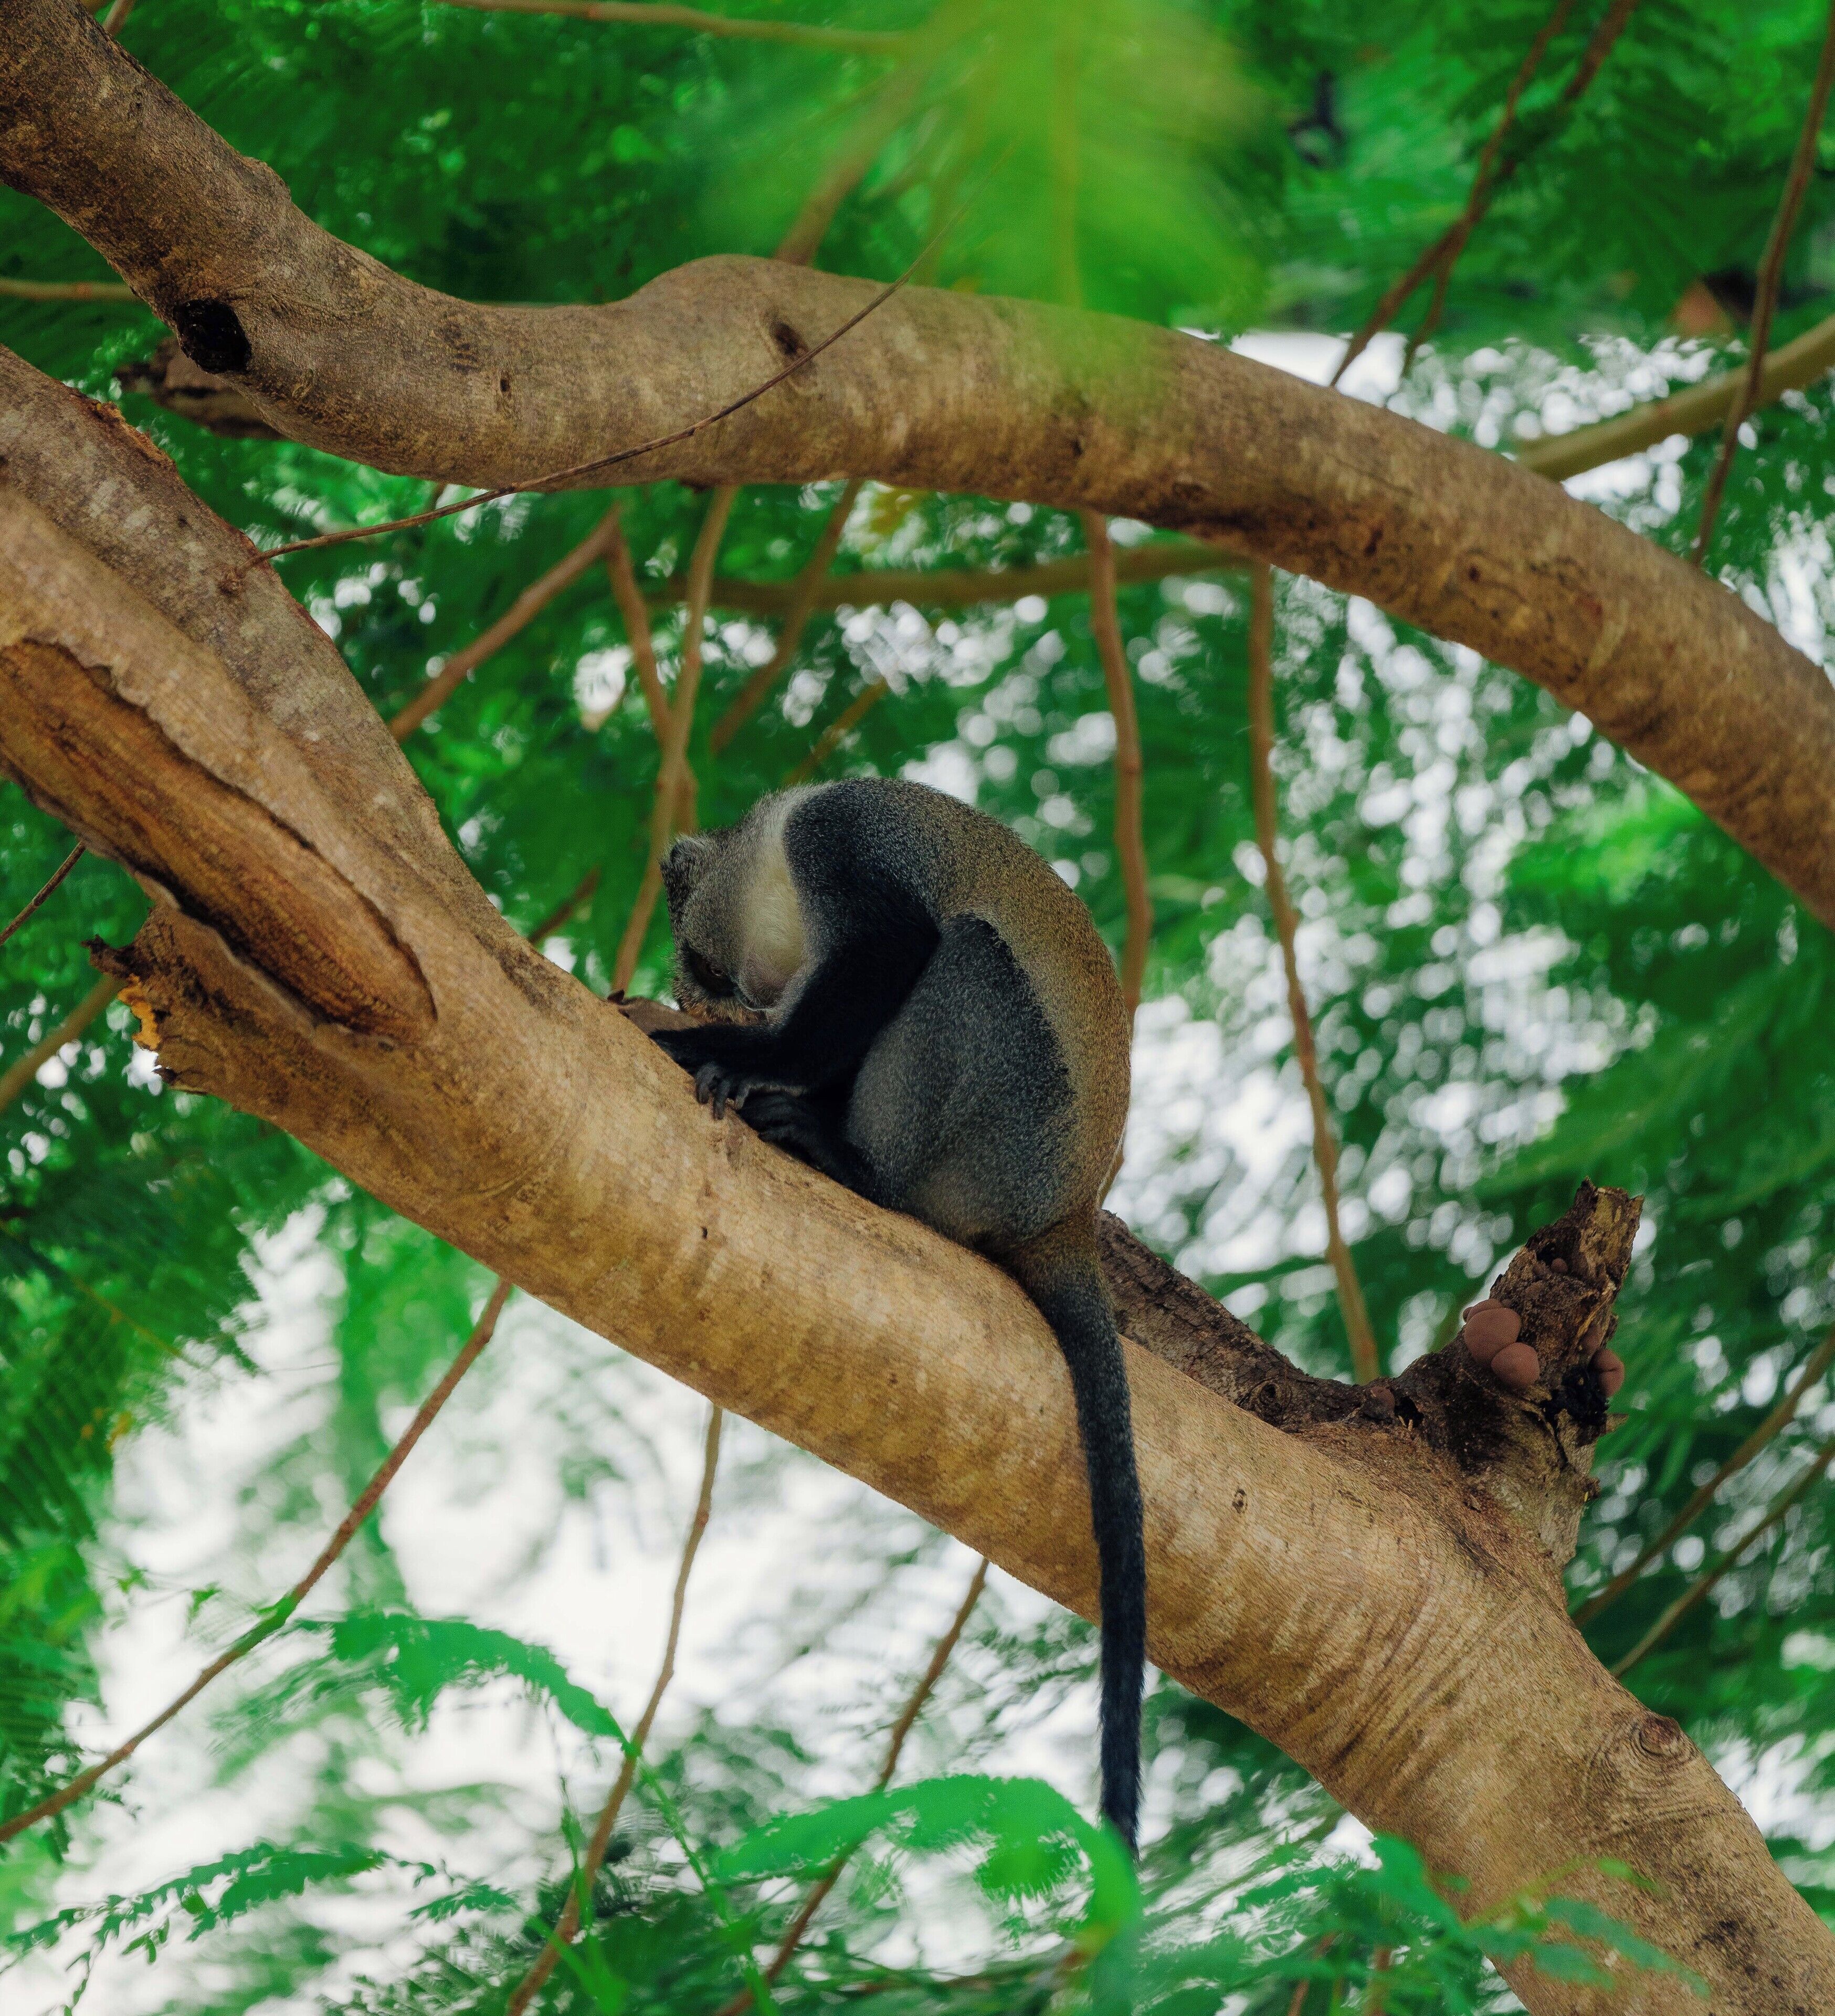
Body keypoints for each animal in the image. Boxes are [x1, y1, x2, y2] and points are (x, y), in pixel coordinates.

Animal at [649, 776, 1145, 1852]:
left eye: (702, 966)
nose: (742, 994)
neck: (772, 858)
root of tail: (1068, 1215)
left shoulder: (842, 834)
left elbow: (891, 946)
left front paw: (732, 1051)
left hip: (1006, 1130)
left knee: (967, 956)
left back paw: (857, 1168)